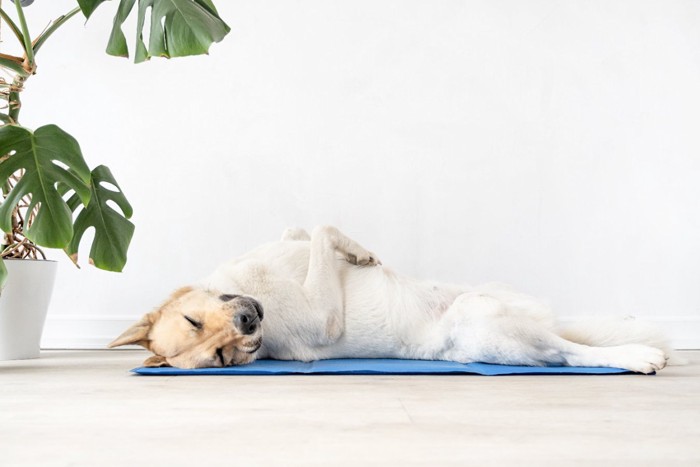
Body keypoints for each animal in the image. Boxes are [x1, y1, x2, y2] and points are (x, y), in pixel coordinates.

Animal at [110, 225, 672, 374]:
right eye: (223, 357)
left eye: (193, 320)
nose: (249, 322)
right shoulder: (323, 318)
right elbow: (322, 227)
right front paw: (359, 252)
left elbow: (305, 230)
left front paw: (357, 254)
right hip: (489, 324)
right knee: (570, 352)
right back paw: (639, 356)